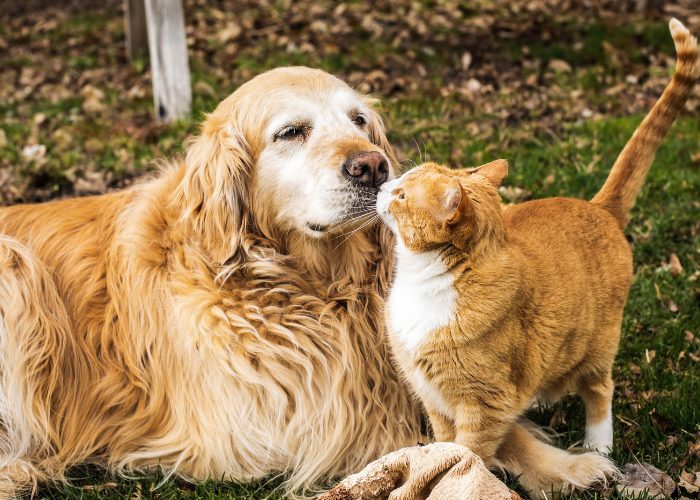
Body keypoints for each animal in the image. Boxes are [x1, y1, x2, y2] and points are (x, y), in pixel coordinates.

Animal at [378, 19, 700, 496]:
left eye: (401, 194)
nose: (382, 183)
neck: (423, 282)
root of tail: (599, 207)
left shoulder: (483, 405)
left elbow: (468, 452)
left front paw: (455, 479)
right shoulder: (432, 397)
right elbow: (442, 443)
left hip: (599, 343)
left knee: (600, 390)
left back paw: (599, 447)